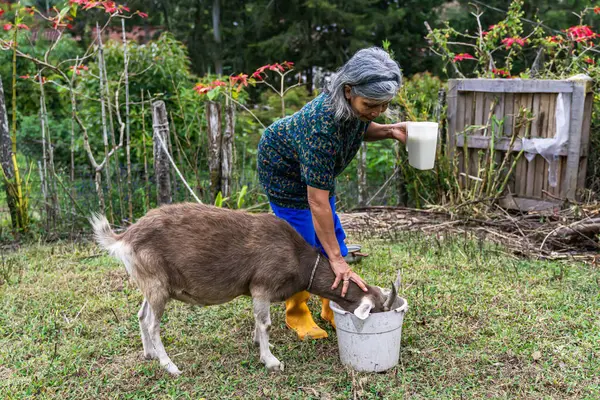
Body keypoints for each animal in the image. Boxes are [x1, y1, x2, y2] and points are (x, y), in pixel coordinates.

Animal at [91, 203, 394, 376]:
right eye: (378, 310)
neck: (298, 257)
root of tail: (124, 237)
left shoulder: (257, 292)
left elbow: (258, 321)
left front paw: (258, 344)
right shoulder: (262, 285)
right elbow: (266, 323)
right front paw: (271, 360)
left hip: (151, 283)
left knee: (142, 316)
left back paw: (150, 354)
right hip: (156, 282)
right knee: (154, 323)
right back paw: (170, 366)